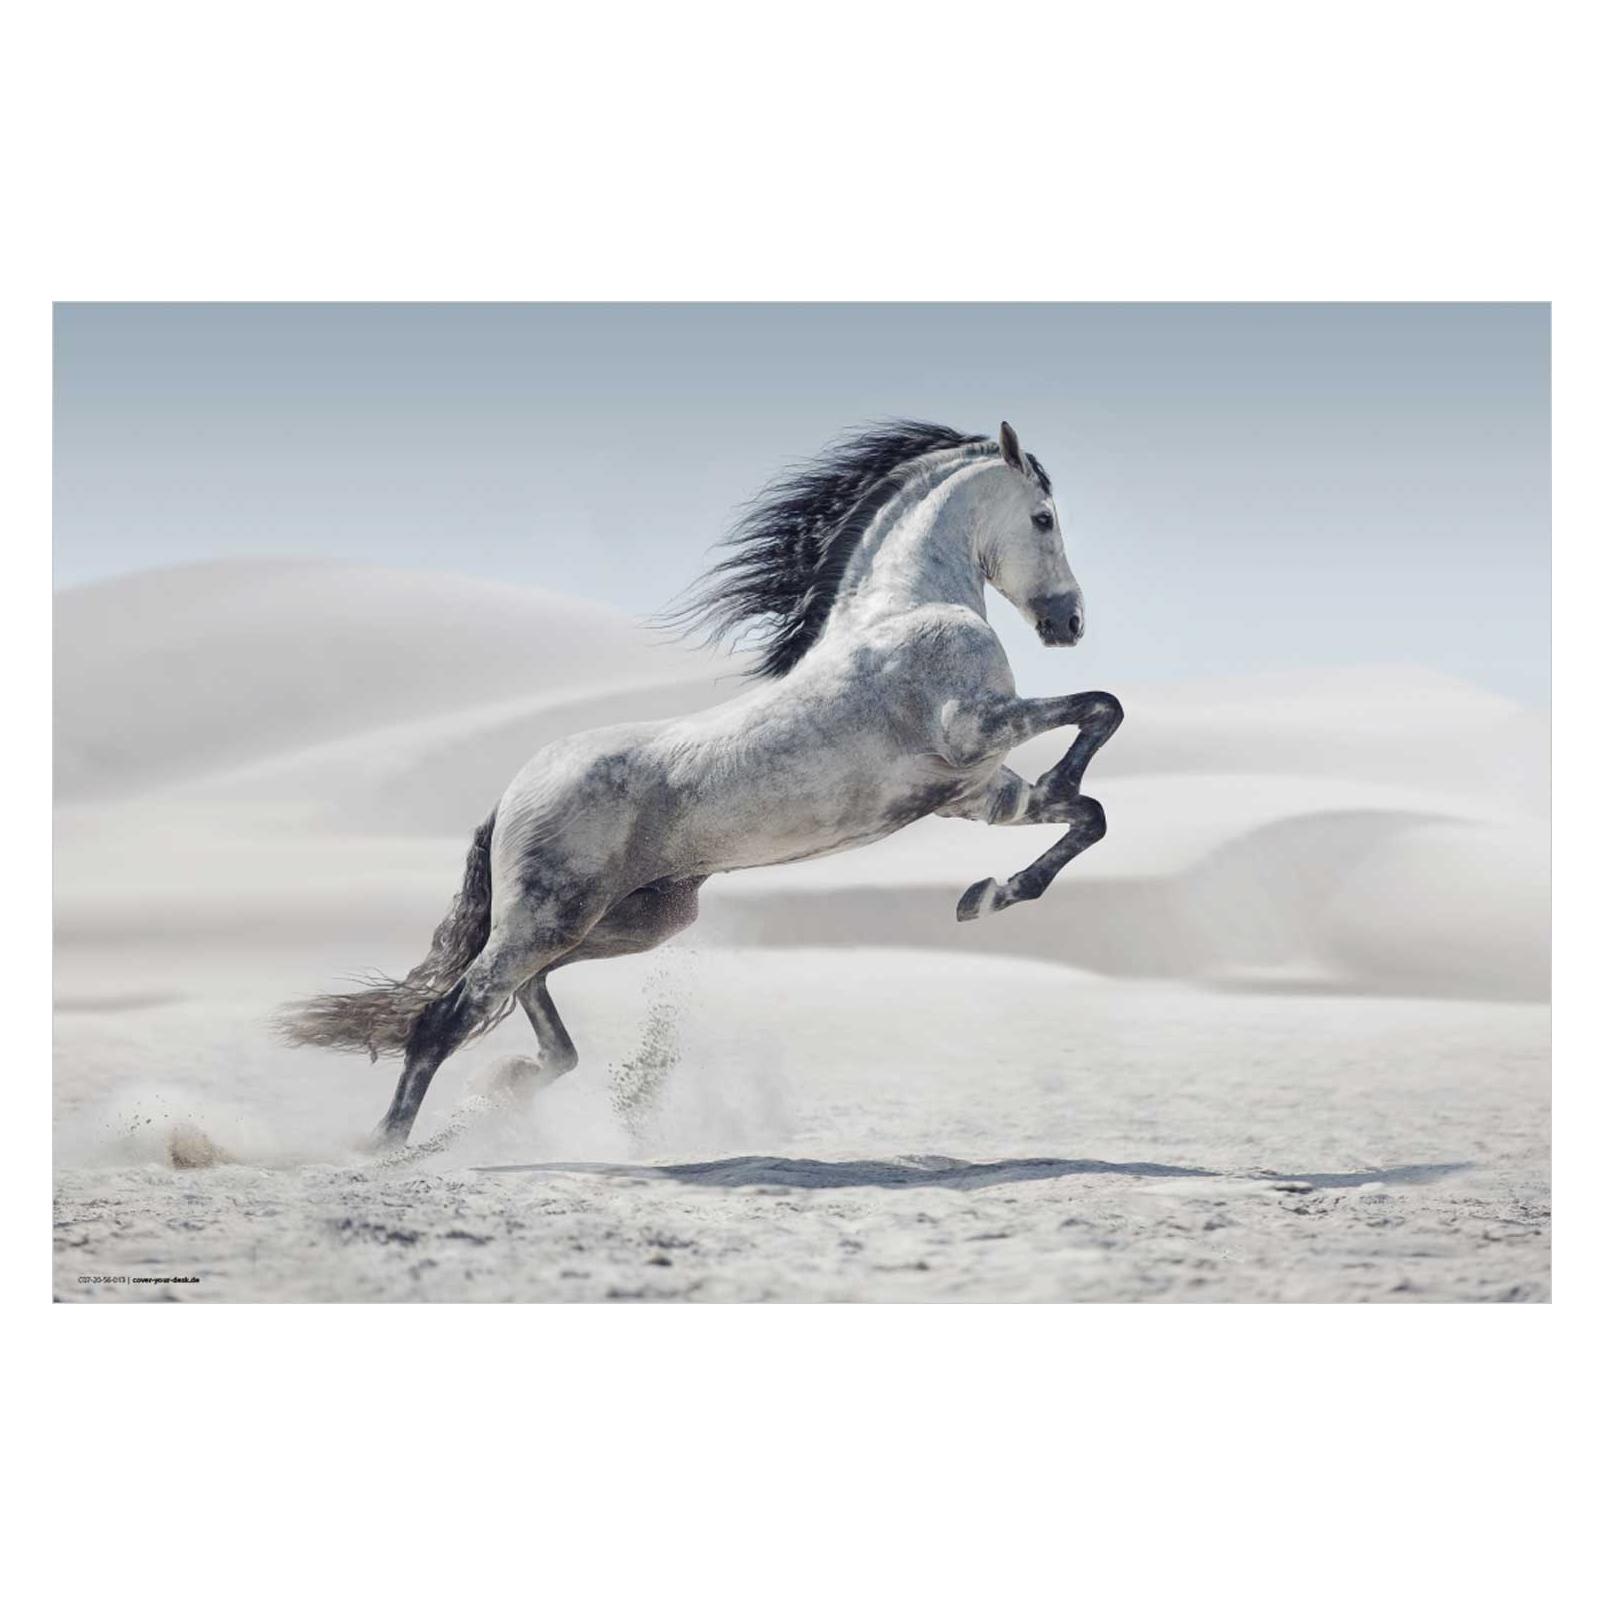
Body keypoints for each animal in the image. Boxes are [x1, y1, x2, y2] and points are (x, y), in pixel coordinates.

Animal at [278, 420, 1123, 1148]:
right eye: (1043, 517)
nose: (1070, 623)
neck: (905, 609)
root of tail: (513, 791)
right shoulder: (972, 728)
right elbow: (1100, 709)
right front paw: (1004, 867)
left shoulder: (976, 794)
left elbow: (1087, 812)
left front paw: (986, 895)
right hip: (552, 916)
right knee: (448, 1014)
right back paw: (385, 1146)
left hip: (628, 921)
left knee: (523, 996)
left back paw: (512, 1083)